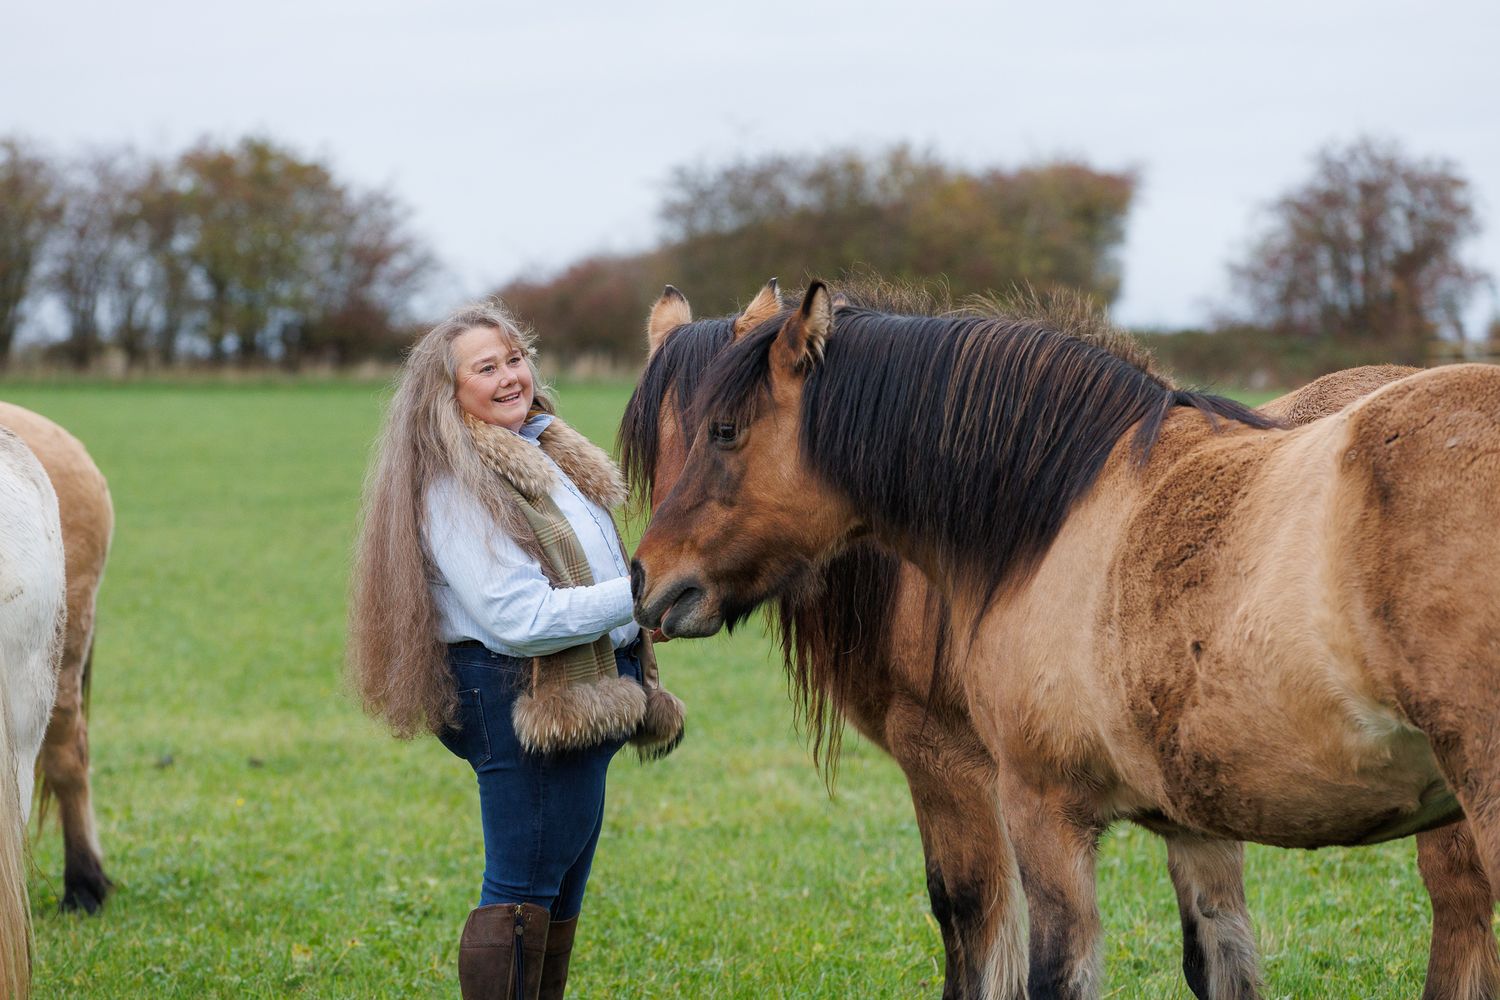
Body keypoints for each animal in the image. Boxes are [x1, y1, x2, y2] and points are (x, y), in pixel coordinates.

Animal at [632, 281, 1500, 999]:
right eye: (656, 449)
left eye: (723, 430)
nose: (650, 582)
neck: (1050, 518)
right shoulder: (1195, 821)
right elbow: (1222, 962)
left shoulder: (1014, 798)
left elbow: (994, 940)